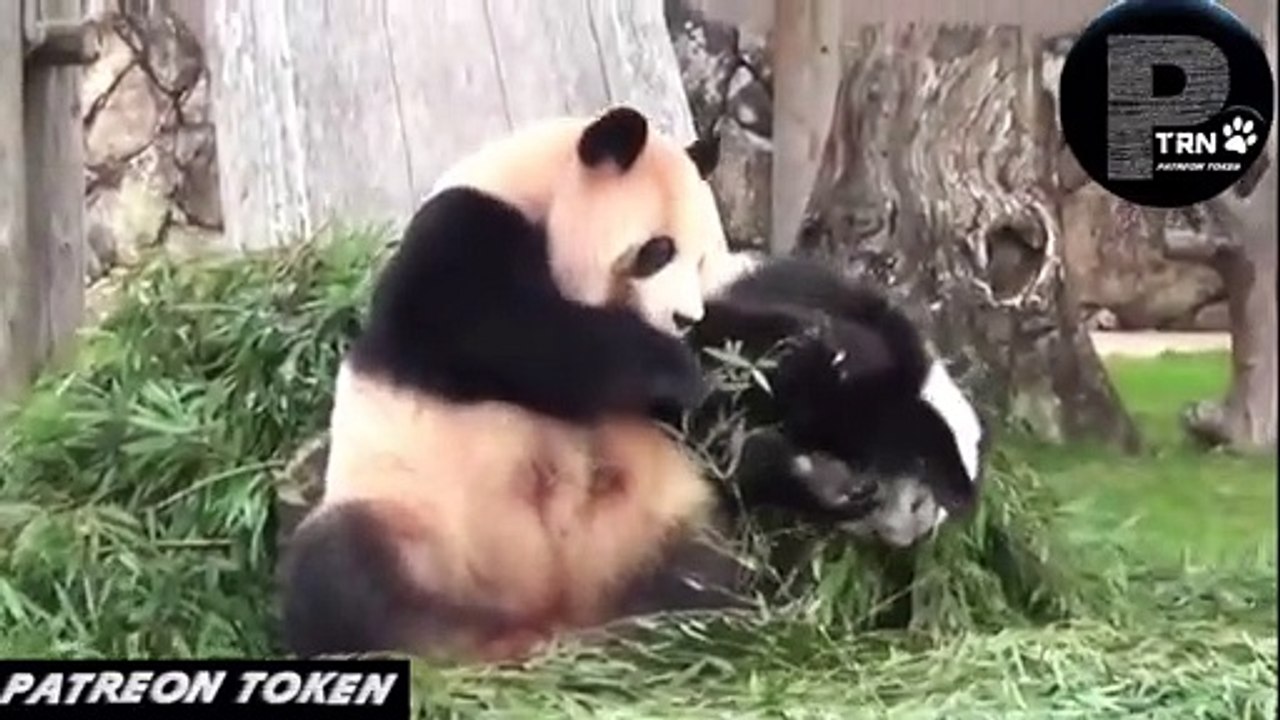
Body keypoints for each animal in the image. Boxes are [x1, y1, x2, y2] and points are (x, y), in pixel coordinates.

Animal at [279, 106, 753, 664]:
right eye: (658, 250)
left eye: (703, 260)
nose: (684, 318)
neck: (538, 194)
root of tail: (544, 619)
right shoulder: (462, 231)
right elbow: (504, 329)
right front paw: (680, 371)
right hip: (412, 517)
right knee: (336, 574)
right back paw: (417, 643)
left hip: (654, 516)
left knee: (704, 562)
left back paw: (673, 625)